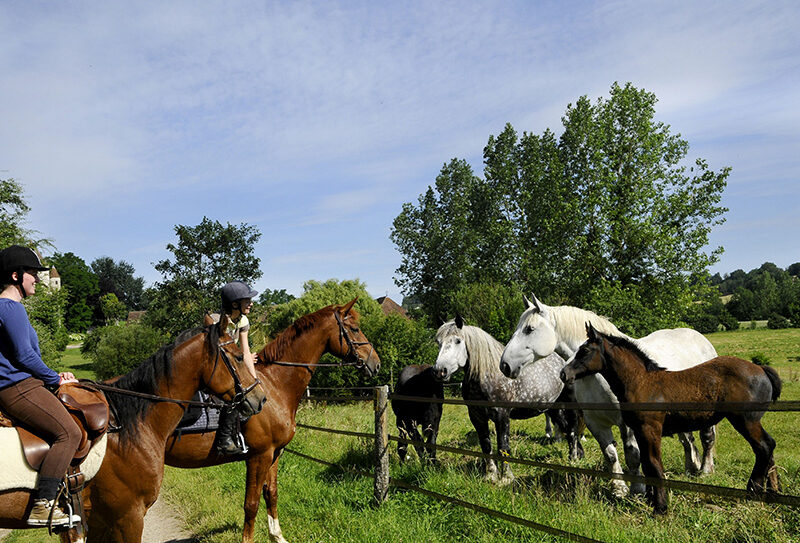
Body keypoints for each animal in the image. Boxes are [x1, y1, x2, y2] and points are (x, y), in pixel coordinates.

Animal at [163, 299, 380, 543]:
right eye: (355, 328)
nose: (376, 362)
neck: (275, 385)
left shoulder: (275, 453)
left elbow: (271, 493)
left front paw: (276, 535)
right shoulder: (259, 456)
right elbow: (251, 503)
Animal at [433, 316, 582, 485]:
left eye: (458, 341)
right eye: (438, 342)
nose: (440, 371)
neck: (486, 375)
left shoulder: (502, 415)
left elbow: (503, 446)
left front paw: (506, 478)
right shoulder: (477, 416)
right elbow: (486, 445)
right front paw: (490, 476)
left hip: (568, 404)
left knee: (572, 430)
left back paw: (574, 459)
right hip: (553, 408)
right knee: (566, 428)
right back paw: (574, 456)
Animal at [499, 293, 719, 497]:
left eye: (529, 329)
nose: (504, 365)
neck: (602, 374)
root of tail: (701, 340)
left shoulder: (627, 424)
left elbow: (632, 455)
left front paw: (637, 490)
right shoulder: (595, 422)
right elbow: (610, 454)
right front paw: (619, 489)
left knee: (707, 437)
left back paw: (705, 470)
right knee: (687, 438)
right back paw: (691, 468)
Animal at [561, 323, 781, 514]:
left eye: (585, 351)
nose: (564, 373)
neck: (642, 381)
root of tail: (761, 369)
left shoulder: (650, 429)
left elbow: (654, 464)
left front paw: (660, 507)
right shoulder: (638, 430)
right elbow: (646, 464)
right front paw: (650, 499)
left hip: (745, 421)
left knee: (763, 446)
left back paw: (753, 490)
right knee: (769, 447)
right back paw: (772, 492)